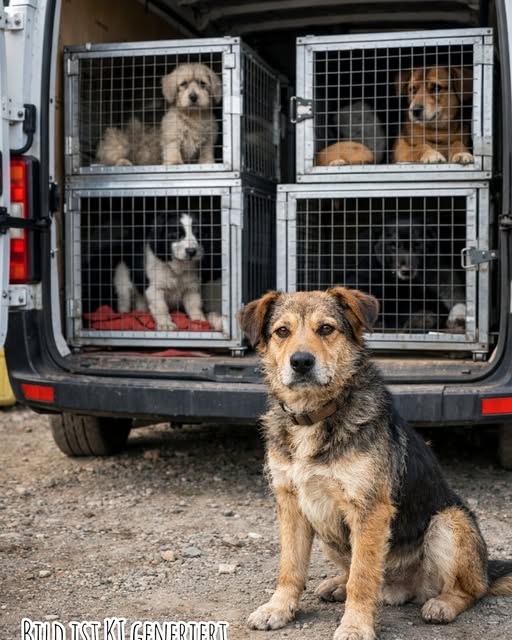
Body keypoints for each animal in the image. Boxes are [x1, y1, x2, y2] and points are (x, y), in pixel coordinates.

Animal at [238, 288, 512, 640]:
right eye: (282, 332)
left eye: (326, 329)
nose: (300, 362)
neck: (315, 416)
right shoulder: (291, 504)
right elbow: (290, 567)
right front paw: (279, 608)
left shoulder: (369, 509)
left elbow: (363, 577)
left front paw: (355, 625)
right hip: (329, 533)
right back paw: (337, 584)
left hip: (449, 521)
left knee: (471, 590)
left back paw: (443, 604)